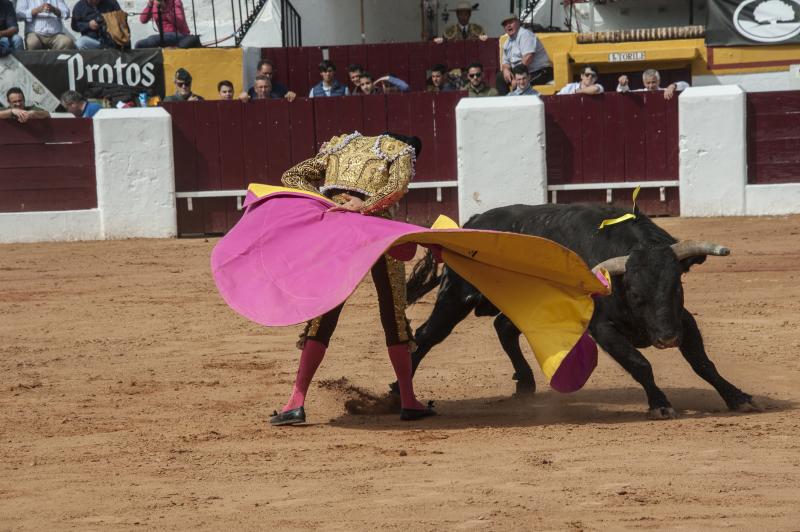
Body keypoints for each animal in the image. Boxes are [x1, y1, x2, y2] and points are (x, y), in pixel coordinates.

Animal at [400, 204, 756, 420]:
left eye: (677, 287)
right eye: (636, 293)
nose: (668, 339)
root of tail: (471, 222)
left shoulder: (682, 318)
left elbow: (703, 363)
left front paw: (737, 397)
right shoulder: (603, 328)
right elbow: (640, 363)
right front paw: (660, 404)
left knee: (504, 328)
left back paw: (525, 383)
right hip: (457, 296)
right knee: (428, 335)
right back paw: (400, 397)